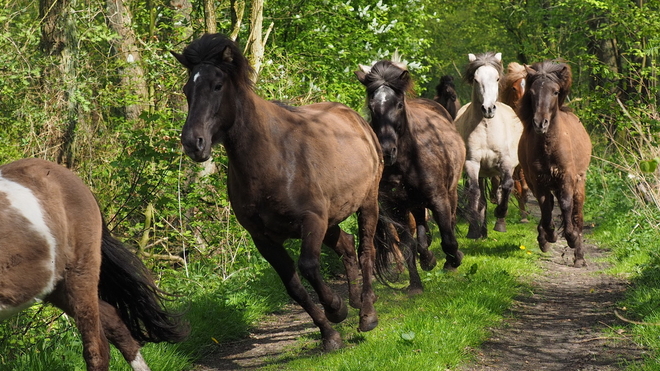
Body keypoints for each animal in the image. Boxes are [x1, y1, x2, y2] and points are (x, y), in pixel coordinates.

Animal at [173, 32, 384, 352]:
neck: (273, 158)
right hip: (332, 218)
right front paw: (330, 333)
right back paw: (356, 301)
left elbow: (308, 266)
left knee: (366, 249)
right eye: (187, 89)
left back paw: (367, 314)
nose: (192, 143)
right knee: (347, 245)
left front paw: (336, 309)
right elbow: (293, 286)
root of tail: (354, 117)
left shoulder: (311, 219)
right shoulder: (264, 239)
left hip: (367, 203)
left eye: (217, 85)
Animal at [354, 60, 466, 294]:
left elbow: (448, 239)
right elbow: (407, 245)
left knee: (449, 223)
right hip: (414, 203)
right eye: (372, 106)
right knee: (421, 229)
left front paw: (454, 260)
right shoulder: (395, 207)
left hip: (449, 194)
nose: (387, 151)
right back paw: (427, 259)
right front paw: (416, 284)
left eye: (398, 105)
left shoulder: (439, 199)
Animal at [454, 51, 520, 238]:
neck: (486, 128)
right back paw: (481, 231)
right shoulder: (472, 163)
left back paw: (499, 223)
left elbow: (507, 186)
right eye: (476, 80)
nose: (488, 109)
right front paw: (474, 229)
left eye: (497, 78)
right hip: (482, 171)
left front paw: (500, 213)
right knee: (481, 196)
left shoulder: (505, 162)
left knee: (498, 190)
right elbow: (474, 193)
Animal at [516, 61, 592, 268]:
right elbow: (545, 206)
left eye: (555, 92)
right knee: (549, 205)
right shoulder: (538, 180)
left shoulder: (566, 178)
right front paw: (548, 236)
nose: (540, 123)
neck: (549, 146)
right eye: (532, 92)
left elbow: (565, 205)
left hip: (579, 184)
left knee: (577, 214)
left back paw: (579, 256)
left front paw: (571, 237)